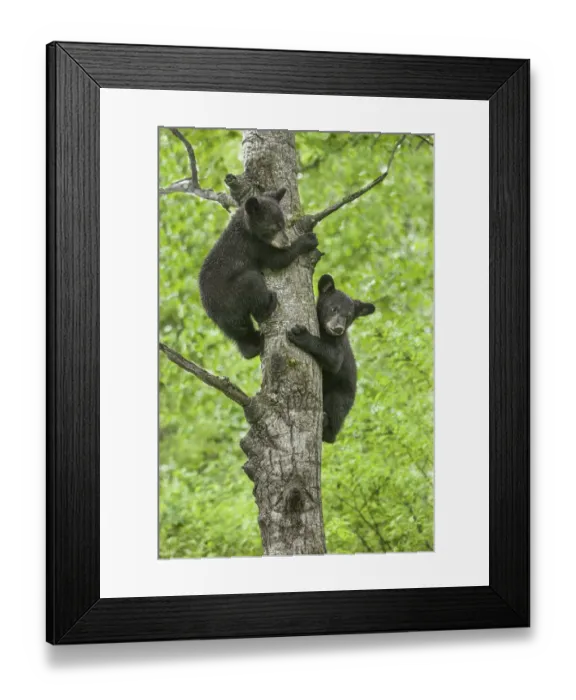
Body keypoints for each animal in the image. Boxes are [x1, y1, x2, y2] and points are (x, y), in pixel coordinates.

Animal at [199, 187, 319, 359]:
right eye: (274, 228)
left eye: (283, 224)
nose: (286, 242)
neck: (245, 227)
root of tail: (214, 311)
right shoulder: (254, 245)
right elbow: (277, 260)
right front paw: (307, 240)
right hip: (231, 295)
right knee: (253, 283)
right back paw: (269, 305)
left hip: (227, 321)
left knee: (241, 333)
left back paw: (251, 347)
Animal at [287, 274, 375, 443]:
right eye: (334, 308)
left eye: (348, 316)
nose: (338, 328)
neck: (325, 331)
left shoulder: (339, 344)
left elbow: (334, 360)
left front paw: (301, 335)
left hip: (342, 395)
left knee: (335, 412)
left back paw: (326, 425)